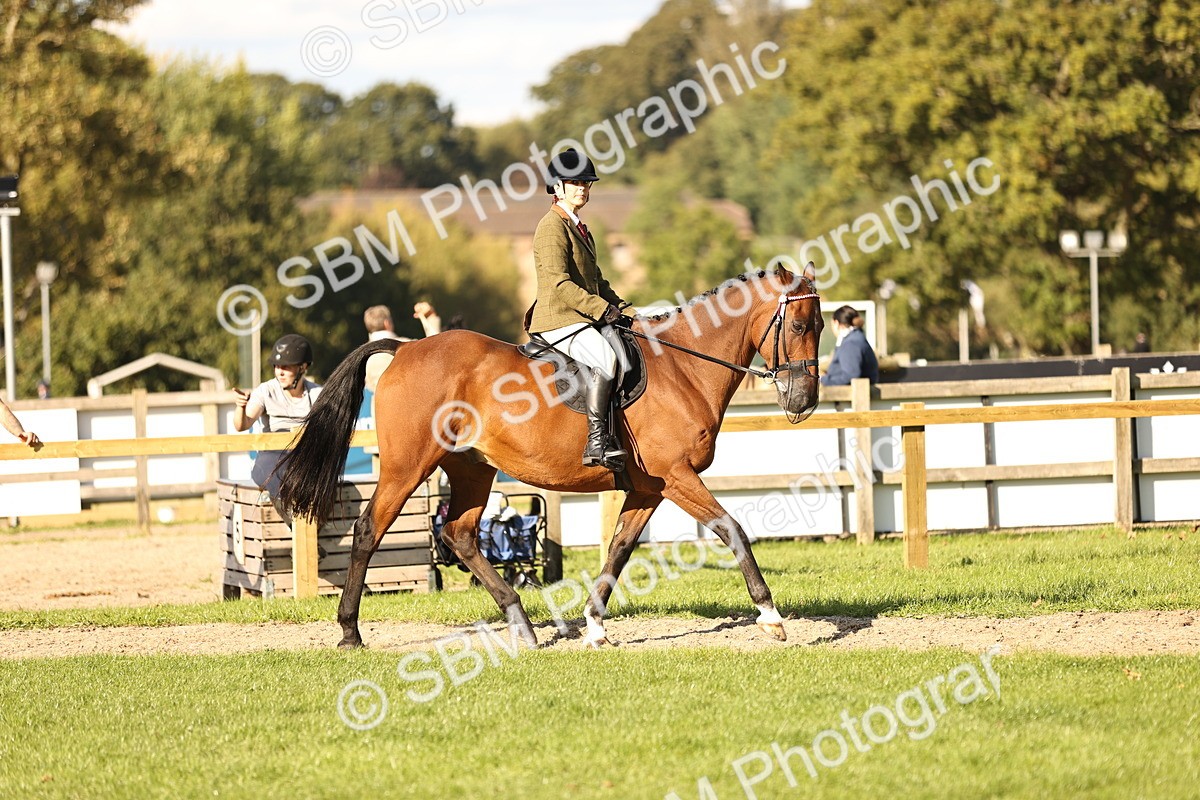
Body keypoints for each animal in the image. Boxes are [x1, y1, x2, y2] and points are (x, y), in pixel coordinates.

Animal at [277, 263, 823, 649]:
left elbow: (619, 550)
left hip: (471, 468)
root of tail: (405, 350)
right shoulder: (677, 476)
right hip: (408, 466)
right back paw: (350, 632)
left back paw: (521, 623)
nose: (804, 400)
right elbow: (732, 529)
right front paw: (771, 618)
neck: (684, 367)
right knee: (369, 530)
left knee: (460, 535)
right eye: (798, 326)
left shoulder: (649, 488)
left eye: (818, 323)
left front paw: (595, 627)